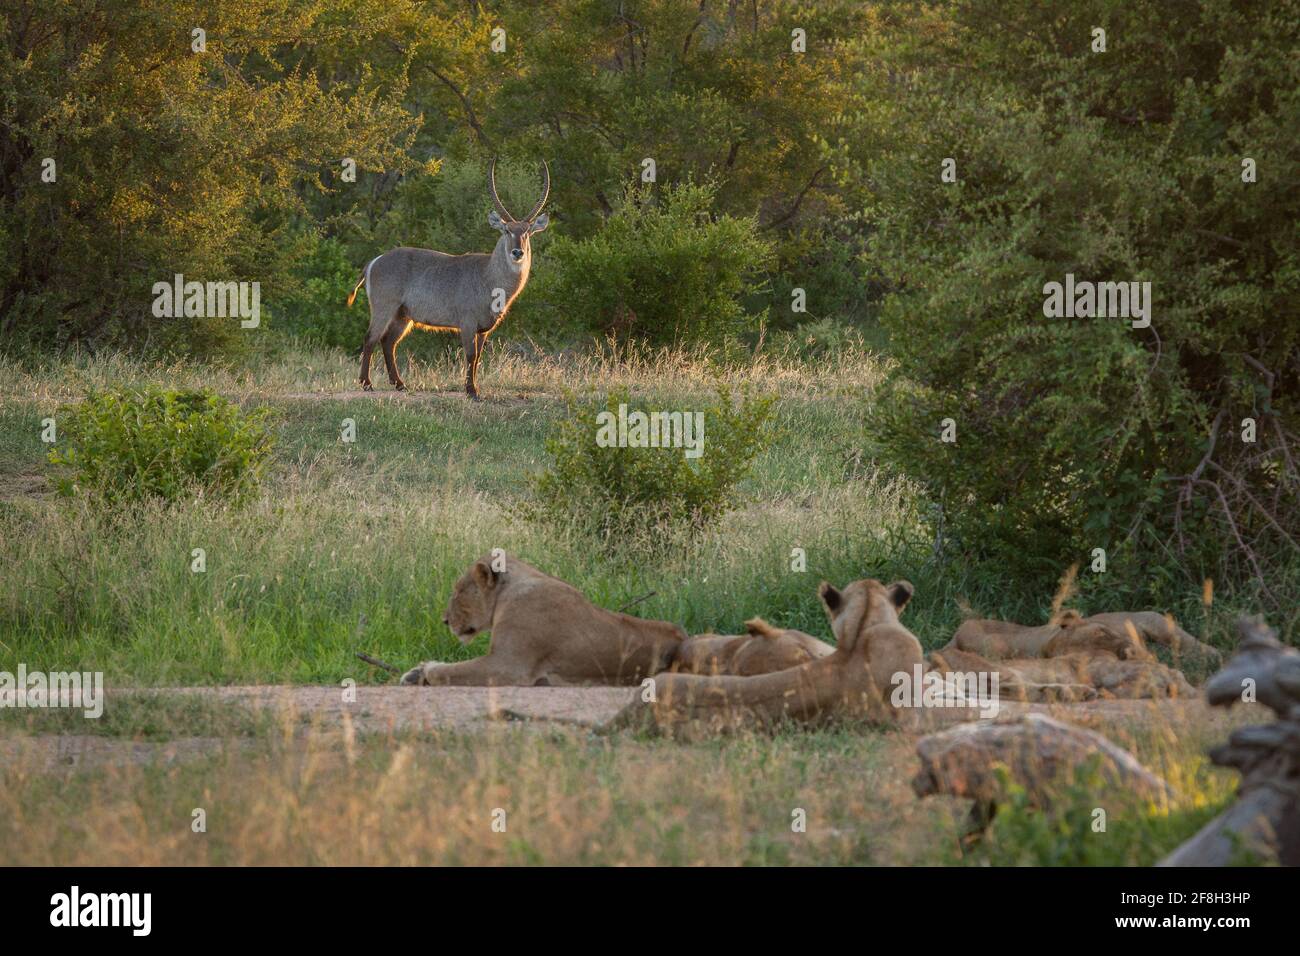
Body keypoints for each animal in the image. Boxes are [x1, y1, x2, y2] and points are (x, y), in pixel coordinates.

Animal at [400, 553, 685, 686]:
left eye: (458, 592)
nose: (445, 621)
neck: (505, 595)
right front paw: (415, 673)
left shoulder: (507, 665)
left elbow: (451, 670)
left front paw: (426, 670)